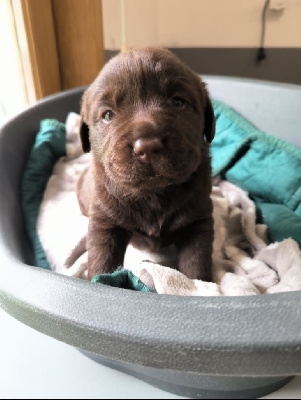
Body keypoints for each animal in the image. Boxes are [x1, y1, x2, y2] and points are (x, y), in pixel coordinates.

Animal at [76, 47, 214, 282]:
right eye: (108, 115)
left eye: (178, 102)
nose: (147, 147)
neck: (153, 194)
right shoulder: (104, 224)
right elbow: (101, 260)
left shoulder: (198, 222)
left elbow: (196, 264)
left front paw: (203, 285)